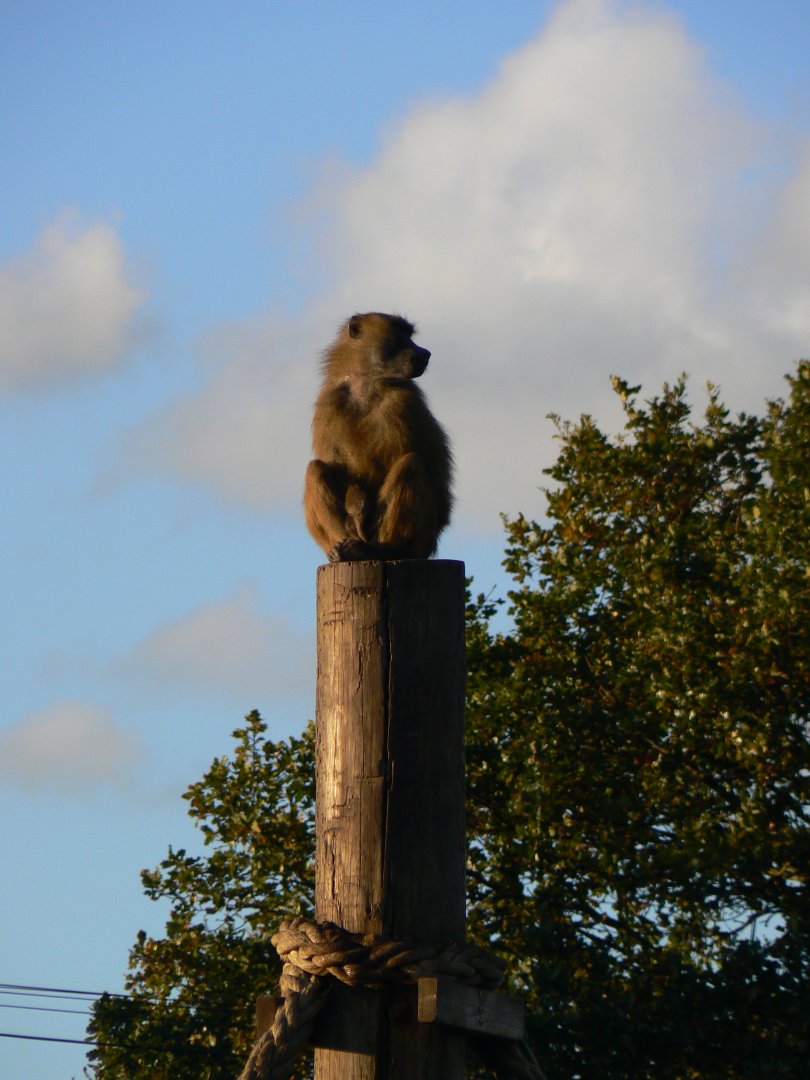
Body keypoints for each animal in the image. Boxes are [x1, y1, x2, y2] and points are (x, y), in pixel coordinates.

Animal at [304, 312, 453, 562]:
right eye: (399, 336)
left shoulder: (401, 402)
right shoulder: (328, 403)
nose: (425, 353)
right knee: (315, 469)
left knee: (410, 464)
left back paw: (390, 549)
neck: (366, 387)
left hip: (422, 539)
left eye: (409, 335)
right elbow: (338, 467)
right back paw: (346, 548)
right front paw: (356, 505)